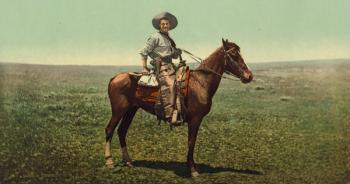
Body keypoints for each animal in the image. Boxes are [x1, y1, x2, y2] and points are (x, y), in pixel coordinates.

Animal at [104, 38, 252, 177]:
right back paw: (109, 161)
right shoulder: (195, 119)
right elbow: (191, 142)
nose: (249, 76)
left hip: (131, 110)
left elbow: (191, 142)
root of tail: (114, 78)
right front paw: (193, 170)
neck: (200, 82)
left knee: (122, 131)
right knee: (109, 130)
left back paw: (128, 161)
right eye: (233, 54)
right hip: (118, 110)